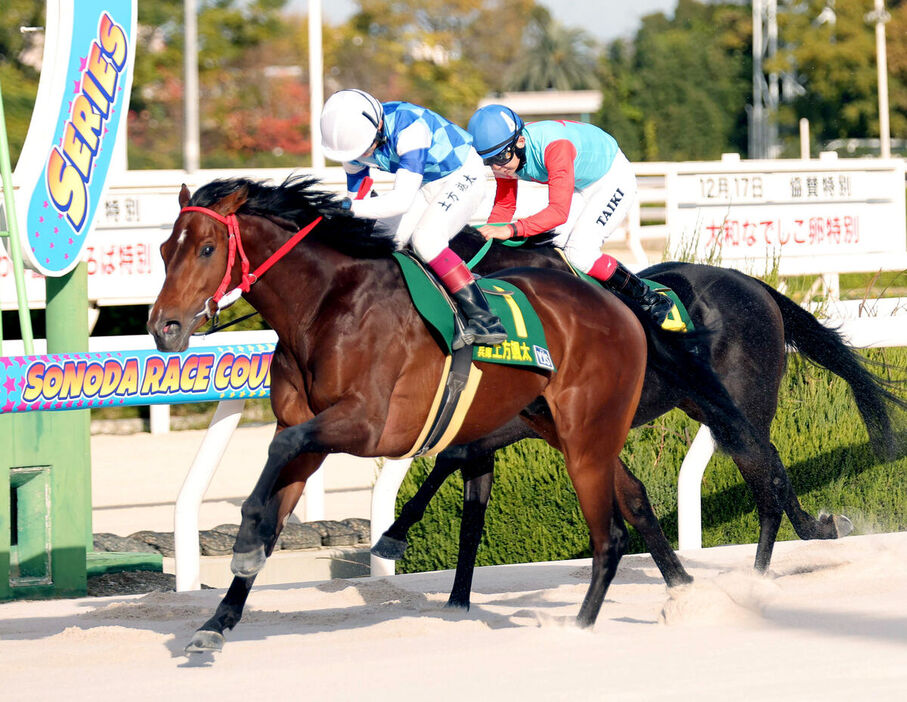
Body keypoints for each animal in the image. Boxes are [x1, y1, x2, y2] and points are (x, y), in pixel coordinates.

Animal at [147, 176, 760, 656]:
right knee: (630, 497)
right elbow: (280, 493)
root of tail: (621, 306)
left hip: (587, 432)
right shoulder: (312, 433)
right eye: (163, 249)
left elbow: (280, 454)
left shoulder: (369, 426)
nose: (163, 327)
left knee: (608, 535)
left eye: (206, 249)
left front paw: (246, 539)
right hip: (563, 427)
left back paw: (580, 628)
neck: (326, 306)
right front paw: (218, 621)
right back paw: (679, 591)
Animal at [370, 230, 907, 612]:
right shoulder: (515, 423)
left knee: (767, 476)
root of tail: (754, 284)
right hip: (707, 405)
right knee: (772, 468)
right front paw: (455, 599)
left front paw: (394, 537)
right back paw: (818, 528)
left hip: (741, 403)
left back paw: (759, 573)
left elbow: (457, 458)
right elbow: (467, 490)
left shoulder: (536, 419)